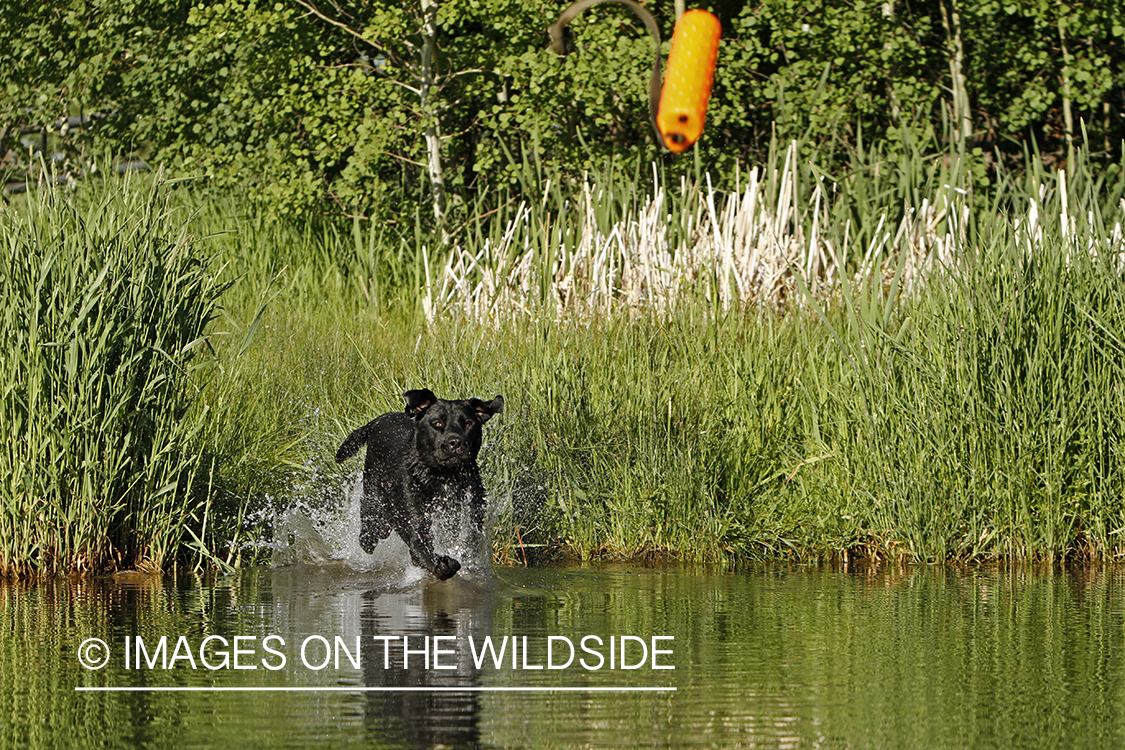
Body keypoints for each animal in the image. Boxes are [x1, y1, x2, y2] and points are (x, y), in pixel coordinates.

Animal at [333, 391, 506, 584]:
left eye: (468, 423)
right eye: (437, 423)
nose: (455, 442)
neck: (442, 478)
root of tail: (379, 420)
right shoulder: (415, 524)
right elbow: (423, 551)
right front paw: (442, 564)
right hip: (375, 517)